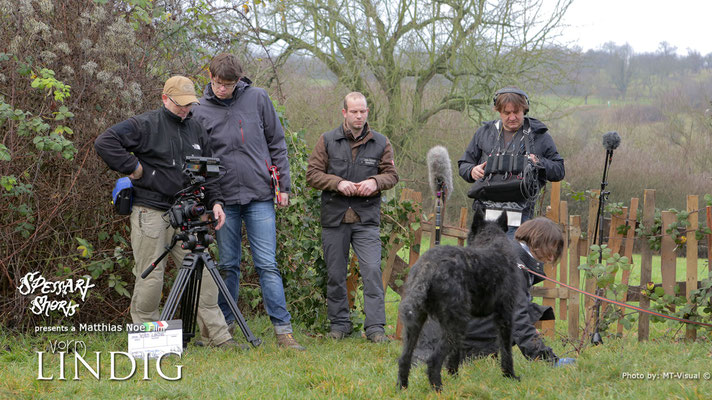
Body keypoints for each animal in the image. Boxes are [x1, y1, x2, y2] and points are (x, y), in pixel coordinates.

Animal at [398, 209, 520, 390]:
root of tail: (428, 266)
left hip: (417, 323)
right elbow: (506, 350)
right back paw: (438, 389)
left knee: (404, 358)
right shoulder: (505, 316)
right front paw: (509, 375)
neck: (492, 240)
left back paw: (402, 388)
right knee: (433, 361)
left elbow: (456, 352)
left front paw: (454, 375)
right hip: (455, 325)